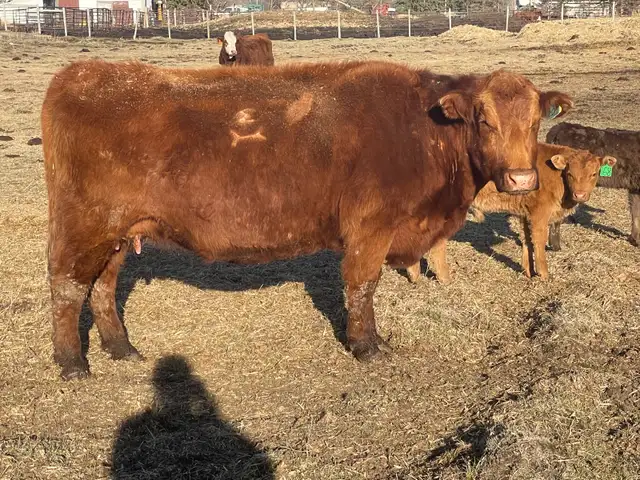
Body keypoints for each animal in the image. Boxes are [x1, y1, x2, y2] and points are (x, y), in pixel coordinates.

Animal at [41, 59, 572, 380]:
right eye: (484, 120)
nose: (522, 179)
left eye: (534, 122)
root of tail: (83, 72)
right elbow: (361, 286)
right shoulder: (370, 228)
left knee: (104, 285)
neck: (423, 131)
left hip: (117, 233)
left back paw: (121, 348)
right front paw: (367, 346)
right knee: (67, 286)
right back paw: (72, 363)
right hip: (84, 225)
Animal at [406, 143, 615, 283]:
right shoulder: (539, 215)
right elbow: (538, 242)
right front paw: (544, 275)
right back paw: (443, 278)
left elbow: (526, 240)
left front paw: (529, 272)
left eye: (594, 173)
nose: (580, 194)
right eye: (570, 173)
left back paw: (416, 275)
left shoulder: (525, 213)